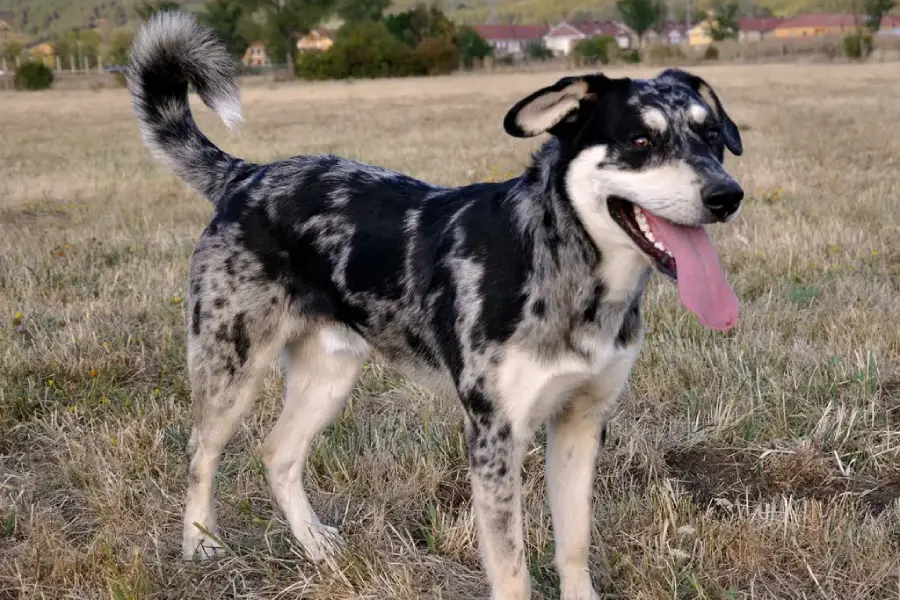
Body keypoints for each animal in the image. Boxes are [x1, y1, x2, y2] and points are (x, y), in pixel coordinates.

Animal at [126, 10, 744, 600]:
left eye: (711, 133)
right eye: (640, 141)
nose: (727, 195)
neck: (563, 264)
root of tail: (247, 174)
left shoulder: (581, 421)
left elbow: (574, 545)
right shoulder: (494, 436)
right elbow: (512, 571)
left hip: (330, 375)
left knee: (277, 455)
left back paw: (316, 548)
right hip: (230, 368)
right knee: (200, 455)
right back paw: (201, 544)